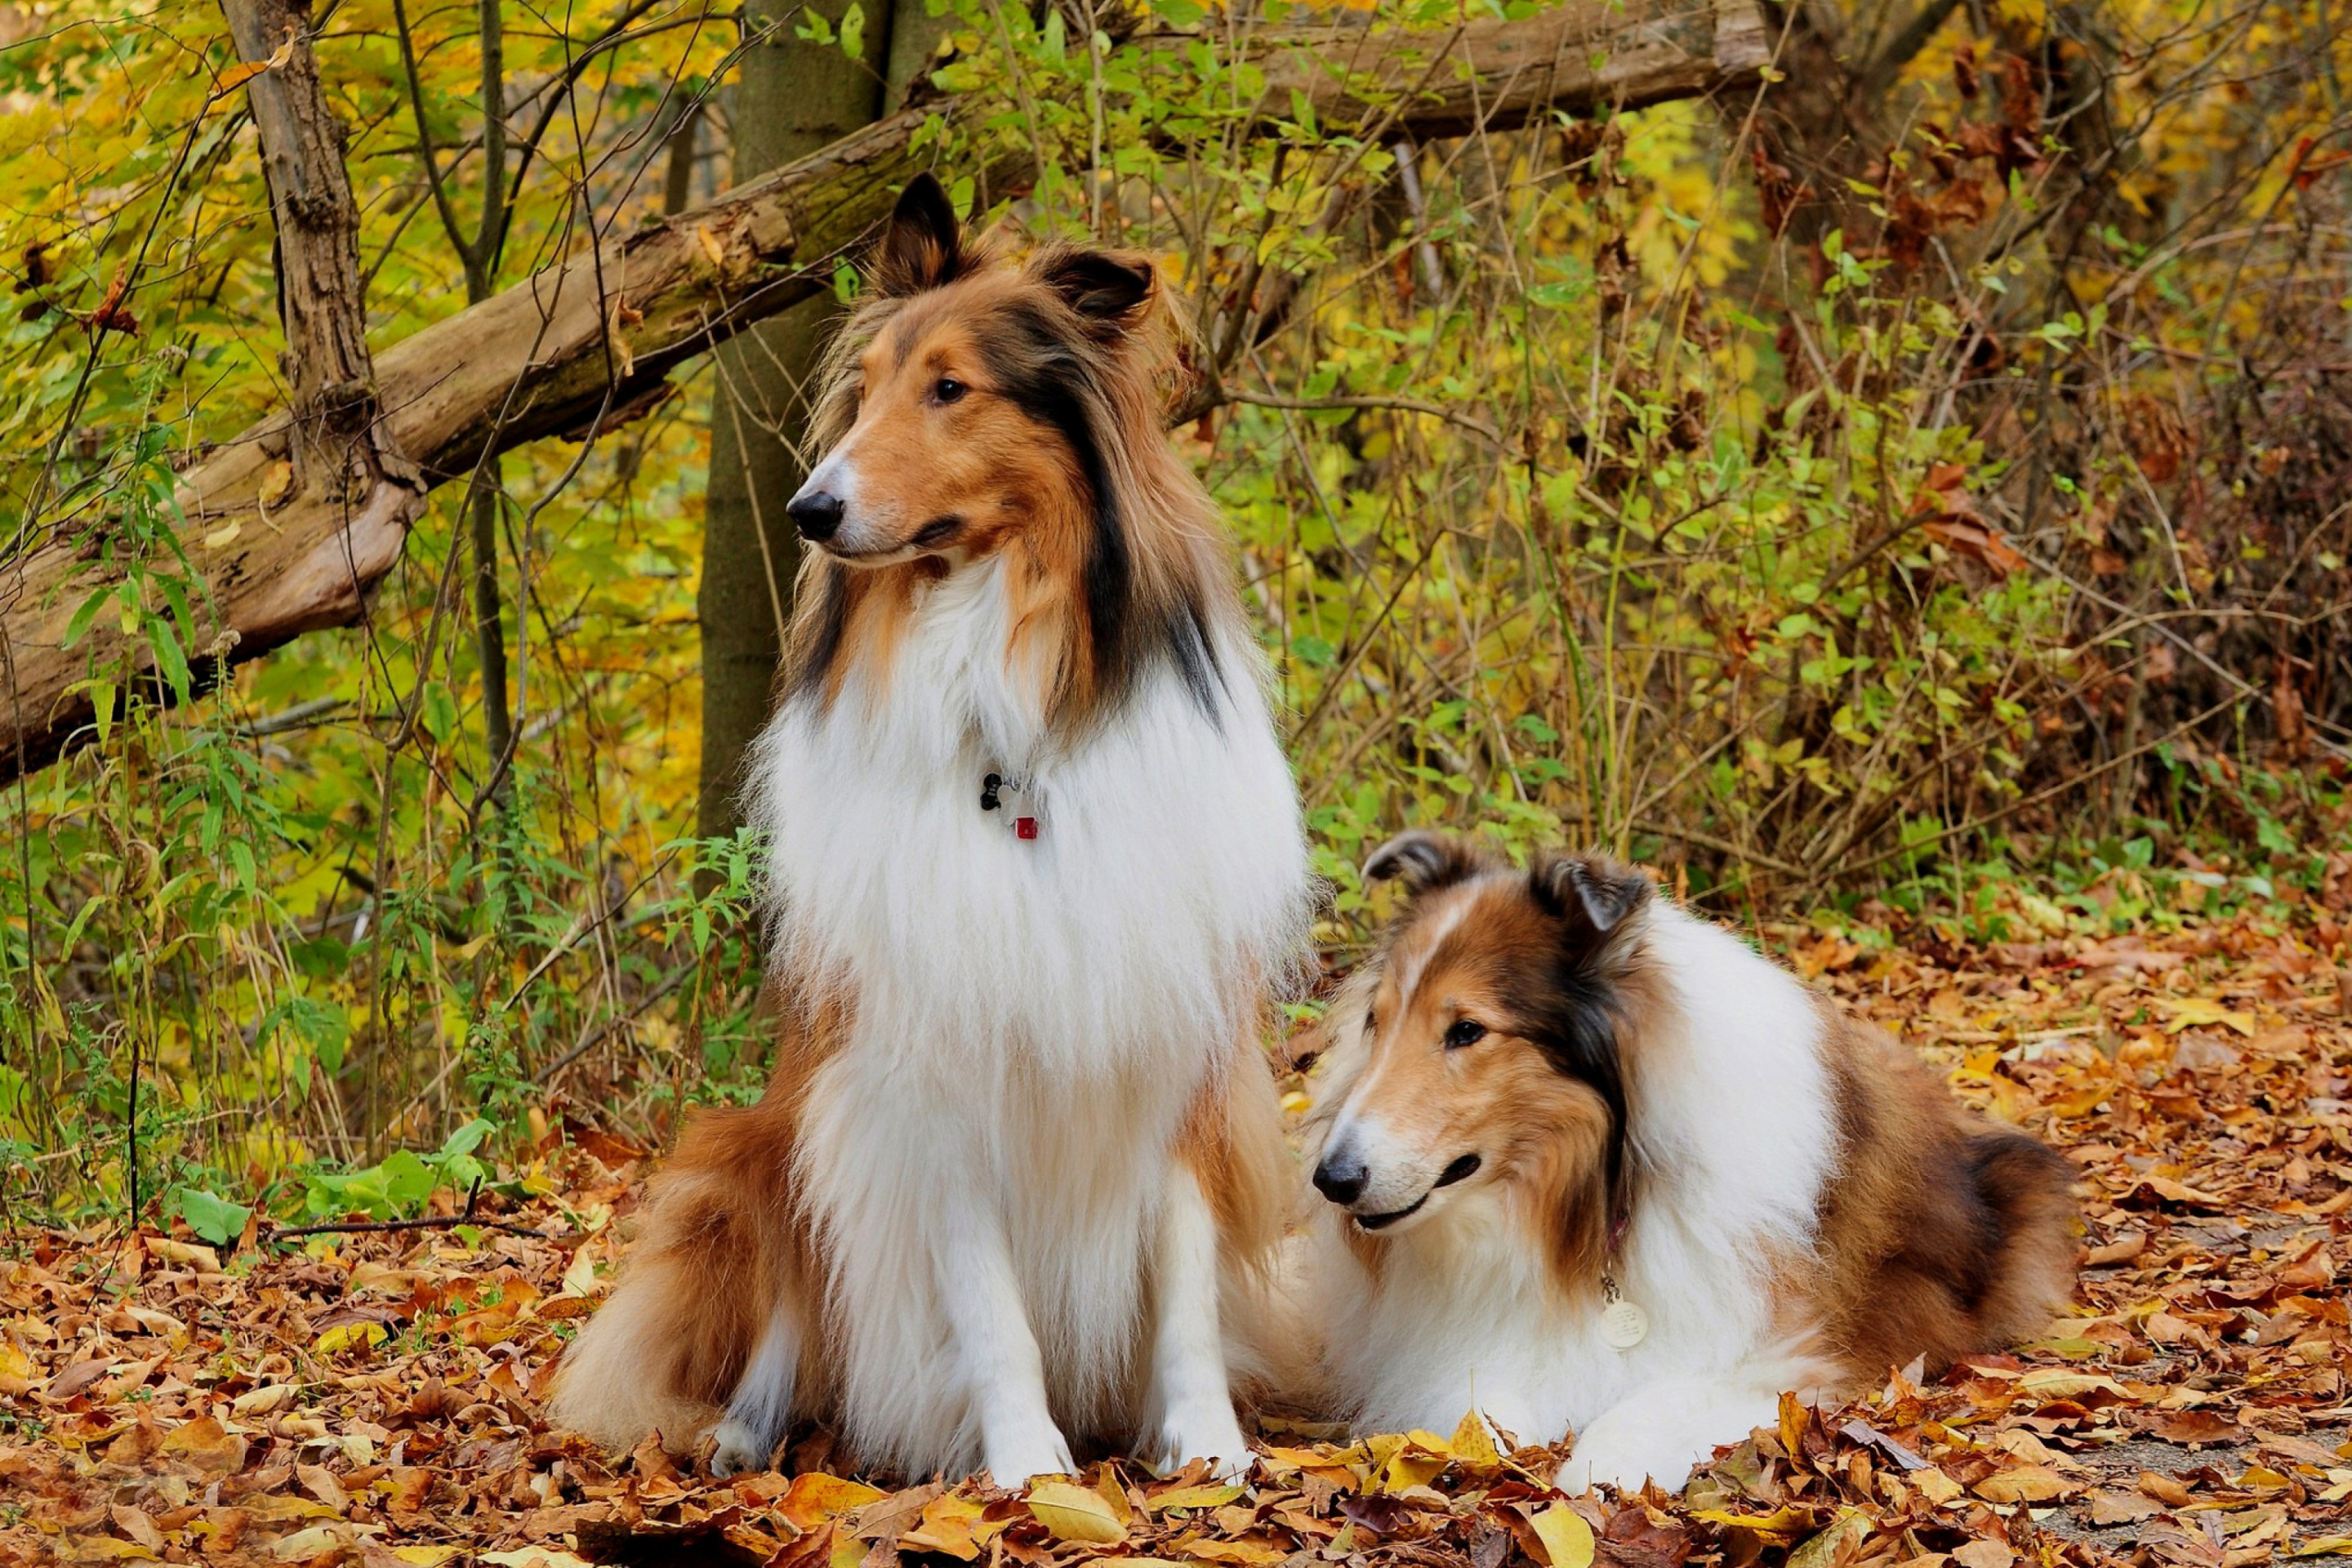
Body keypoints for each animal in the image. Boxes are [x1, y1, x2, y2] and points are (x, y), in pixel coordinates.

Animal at [550, 177, 1307, 1494]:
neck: (1011, 725)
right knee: (784, 1322)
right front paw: (1030, 1470)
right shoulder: (928, 1077)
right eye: (867, 390)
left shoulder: (1177, 1045)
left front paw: (1206, 1444)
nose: (809, 509)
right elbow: (990, 1306)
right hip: (761, 1147)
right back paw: (745, 1433)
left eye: (951, 388)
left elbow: (1188, 1282)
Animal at [1307, 827, 2078, 1494]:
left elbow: (1651, 1407)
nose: (1332, 1180)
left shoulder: (1785, 1354)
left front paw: (1593, 1467)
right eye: (1376, 1022)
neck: (1592, 1200)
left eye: (1467, 1030)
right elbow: (1480, 1404)